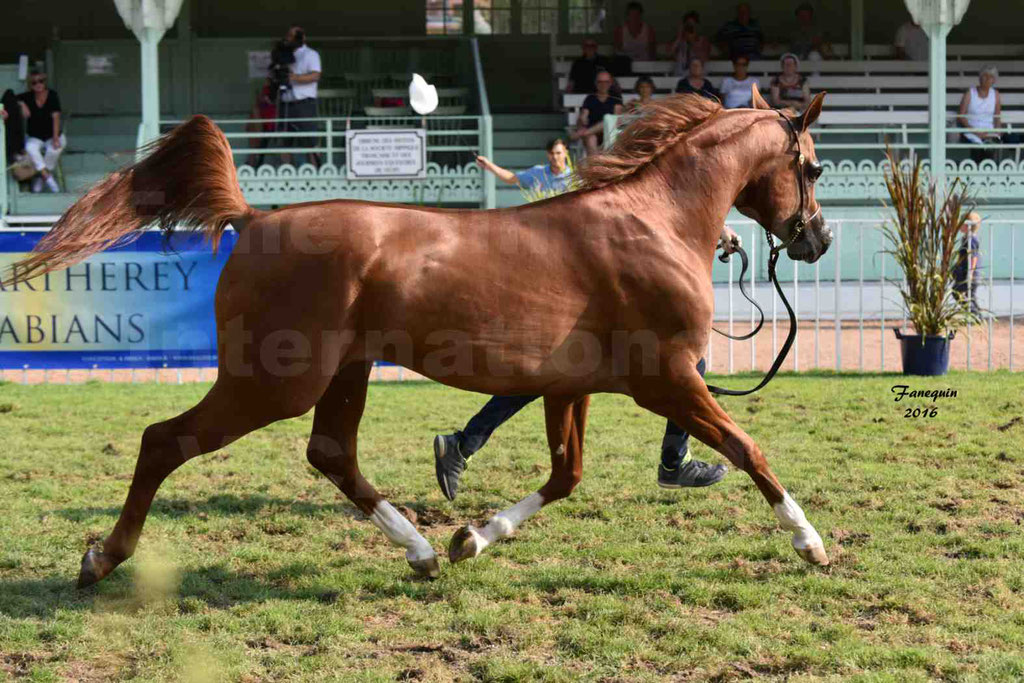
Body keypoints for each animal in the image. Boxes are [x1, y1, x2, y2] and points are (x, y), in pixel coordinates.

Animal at [9, 85, 831, 589]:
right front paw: (811, 542)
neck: (651, 222)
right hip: (274, 380)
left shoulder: (569, 385)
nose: (817, 239)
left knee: (331, 455)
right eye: (814, 167)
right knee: (164, 441)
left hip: (343, 372)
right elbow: (748, 447)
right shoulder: (668, 377)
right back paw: (100, 560)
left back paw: (425, 550)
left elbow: (566, 475)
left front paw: (473, 536)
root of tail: (254, 218)